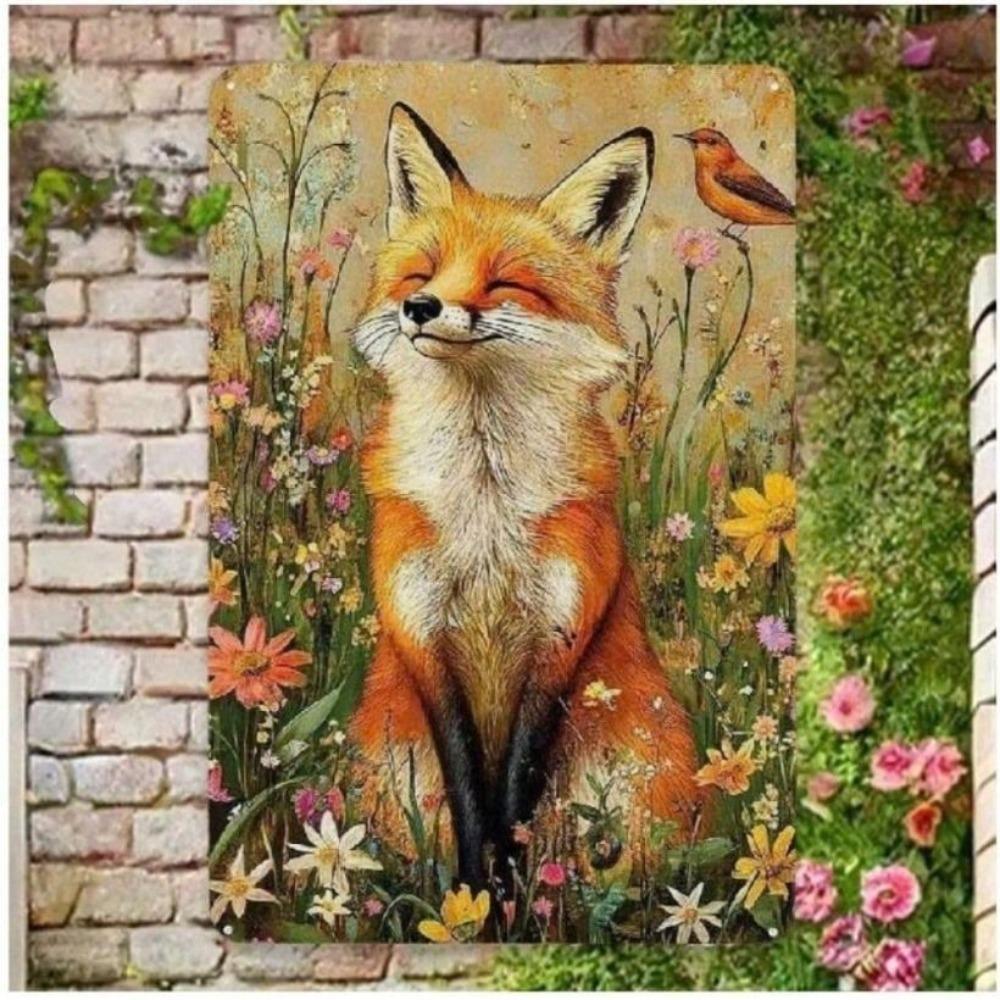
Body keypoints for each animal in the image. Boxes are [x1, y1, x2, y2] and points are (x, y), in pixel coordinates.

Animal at [350, 103, 702, 891]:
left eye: (504, 282)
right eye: (422, 270)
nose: (420, 307)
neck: (484, 506)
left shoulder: (559, 641)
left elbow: (514, 792)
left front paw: (507, 896)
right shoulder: (423, 635)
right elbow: (468, 792)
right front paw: (473, 897)